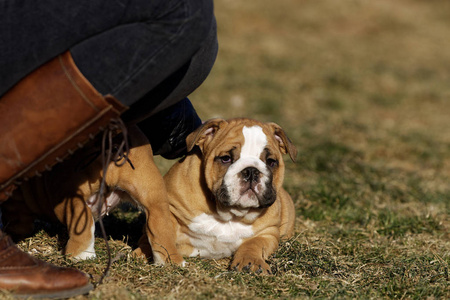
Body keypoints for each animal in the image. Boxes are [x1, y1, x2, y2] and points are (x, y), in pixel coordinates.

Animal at [1, 125, 185, 266]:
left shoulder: (17, 206)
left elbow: (19, 224)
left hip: (70, 195)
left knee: (83, 222)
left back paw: (80, 255)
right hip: (154, 197)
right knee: (161, 227)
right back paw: (172, 262)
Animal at [139, 118, 298, 274]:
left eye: (271, 162)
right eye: (226, 158)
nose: (251, 171)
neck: (228, 213)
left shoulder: (267, 232)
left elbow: (254, 244)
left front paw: (250, 262)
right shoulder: (170, 209)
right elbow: (160, 230)